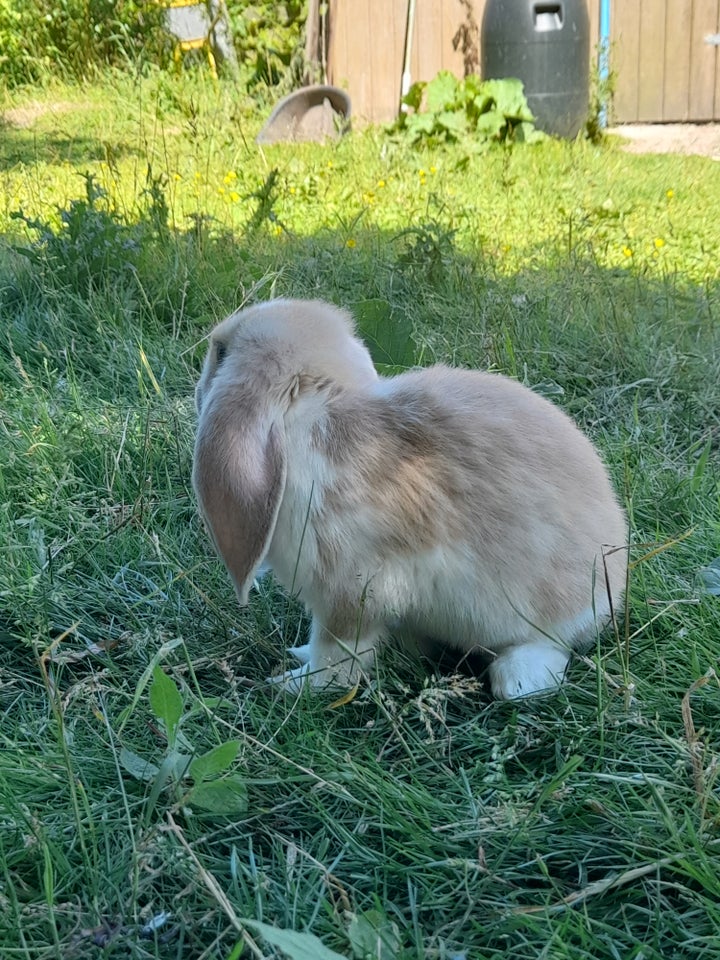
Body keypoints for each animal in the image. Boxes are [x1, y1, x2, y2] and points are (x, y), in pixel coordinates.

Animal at [194, 298, 628, 696]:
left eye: (222, 353)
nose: (199, 388)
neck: (317, 419)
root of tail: (613, 583)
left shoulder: (350, 592)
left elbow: (337, 658)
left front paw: (290, 685)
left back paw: (518, 680)